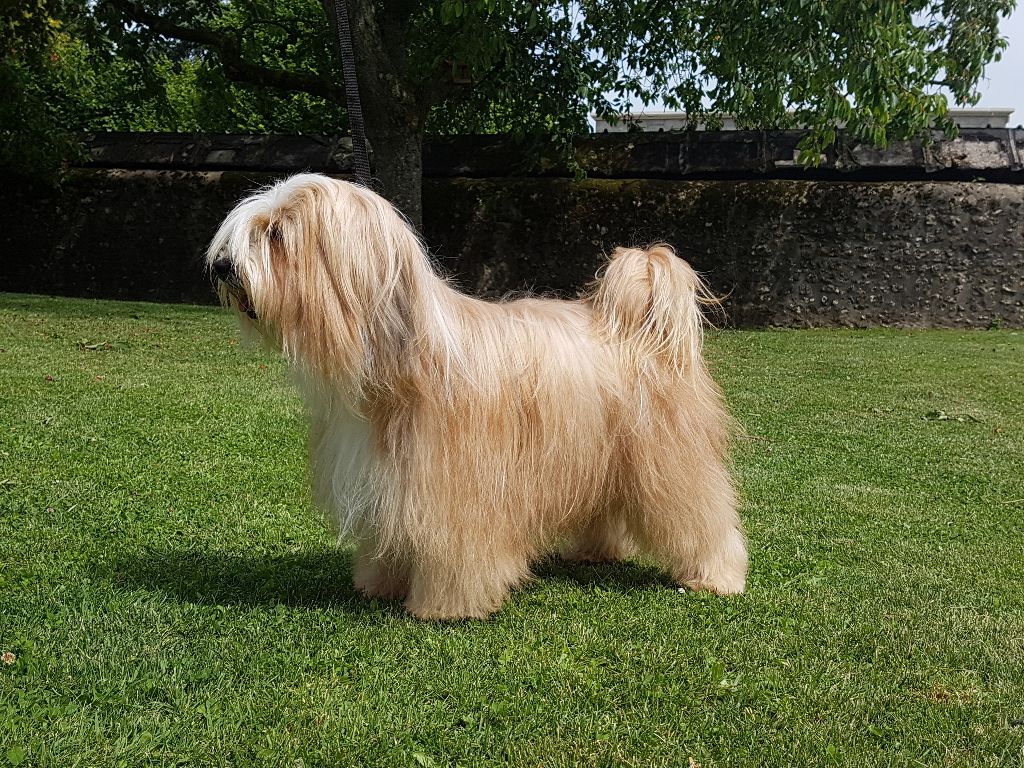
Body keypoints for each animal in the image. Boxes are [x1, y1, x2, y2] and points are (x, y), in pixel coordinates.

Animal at [207, 173, 747, 620]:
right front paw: (380, 583)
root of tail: (637, 324)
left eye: (277, 234)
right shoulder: (391, 481)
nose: (223, 266)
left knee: (701, 515)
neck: (395, 355)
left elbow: (458, 551)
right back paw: (595, 552)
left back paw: (716, 575)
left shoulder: (456, 490)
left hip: (668, 459)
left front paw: (445, 607)